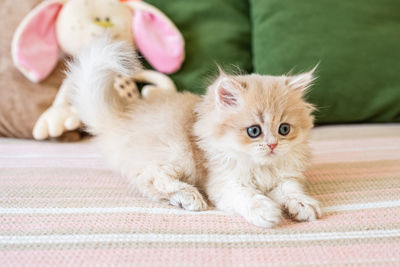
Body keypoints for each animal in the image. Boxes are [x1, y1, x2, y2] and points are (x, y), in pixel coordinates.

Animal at [69, 37, 322, 229]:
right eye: (254, 131)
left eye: (284, 129)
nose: (272, 145)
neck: (260, 168)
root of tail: (124, 114)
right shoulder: (224, 183)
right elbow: (248, 197)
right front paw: (266, 211)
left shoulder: (285, 177)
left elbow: (291, 191)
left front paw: (303, 205)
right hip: (177, 153)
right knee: (151, 179)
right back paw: (190, 196)